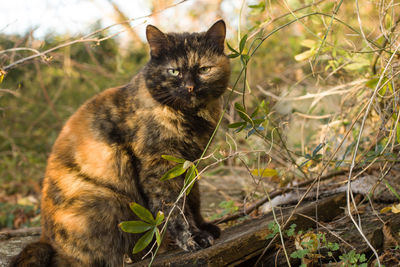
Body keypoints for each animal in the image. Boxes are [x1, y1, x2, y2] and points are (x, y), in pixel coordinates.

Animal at [10, 19, 230, 266]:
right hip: (107, 201)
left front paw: (204, 227)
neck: (190, 117)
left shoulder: (189, 164)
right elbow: (175, 207)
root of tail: (45, 240)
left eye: (204, 69)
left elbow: (193, 198)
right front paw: (192, 238)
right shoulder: (160, 168)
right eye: (174, 71)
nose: (190, 87)